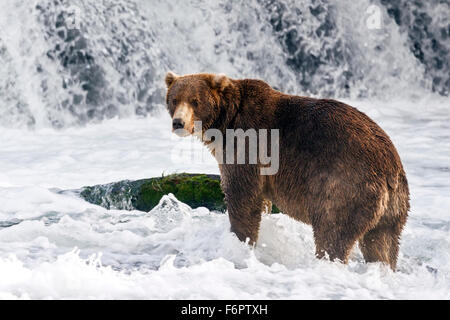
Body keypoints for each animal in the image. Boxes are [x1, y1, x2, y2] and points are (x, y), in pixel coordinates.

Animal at [164, 72, 408, 270]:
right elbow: (259, 201)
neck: (225, 121)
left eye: (195, 101)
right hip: (393, 209)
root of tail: (390, 169)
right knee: (382, 243)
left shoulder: (247, 145)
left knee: (333, 232)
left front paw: (240, 243)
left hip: (344, 186)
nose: (178, 122)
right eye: (174, 99)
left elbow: (242, 197)